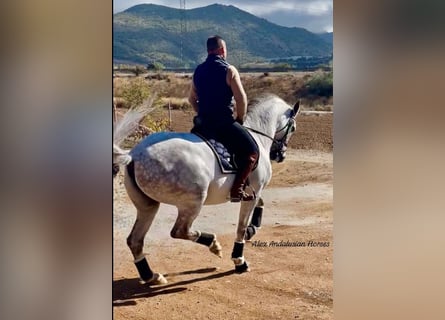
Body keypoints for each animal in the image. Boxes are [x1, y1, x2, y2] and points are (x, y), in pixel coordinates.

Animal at [112, 95, 298, 284]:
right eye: (293, 128)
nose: (280, 155)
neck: (258, 136)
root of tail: (134, 155)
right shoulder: (254, 190)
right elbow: (241, 226)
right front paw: (239, 260)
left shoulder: (252, 192)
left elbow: (260, 204)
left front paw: (252, 229)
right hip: (193, 202)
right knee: (179, 231)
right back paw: (213, 244)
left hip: (148, 206)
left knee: (135, 240)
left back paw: (152, 276)